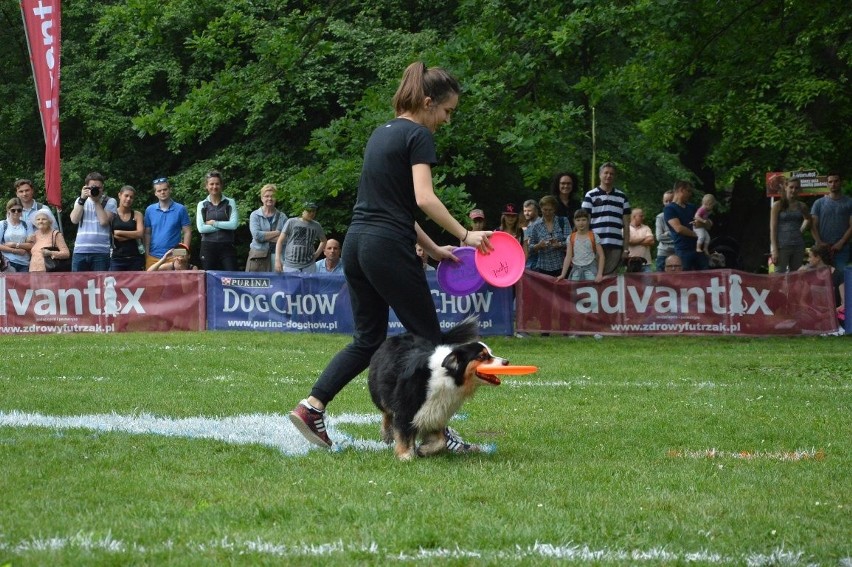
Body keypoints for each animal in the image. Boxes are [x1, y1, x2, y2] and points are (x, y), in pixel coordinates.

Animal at [366, 318, 506, 460]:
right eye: (481, 357)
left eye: (490, 353)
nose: (506, 362)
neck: (447, 375)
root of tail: (395, 336)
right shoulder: (405, 408)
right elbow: (404, 433)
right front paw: (405, 456)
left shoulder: (436, 413)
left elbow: (441, 441)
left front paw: (423, 450)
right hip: (380, 391)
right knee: (386, 411)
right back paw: (387, 433)